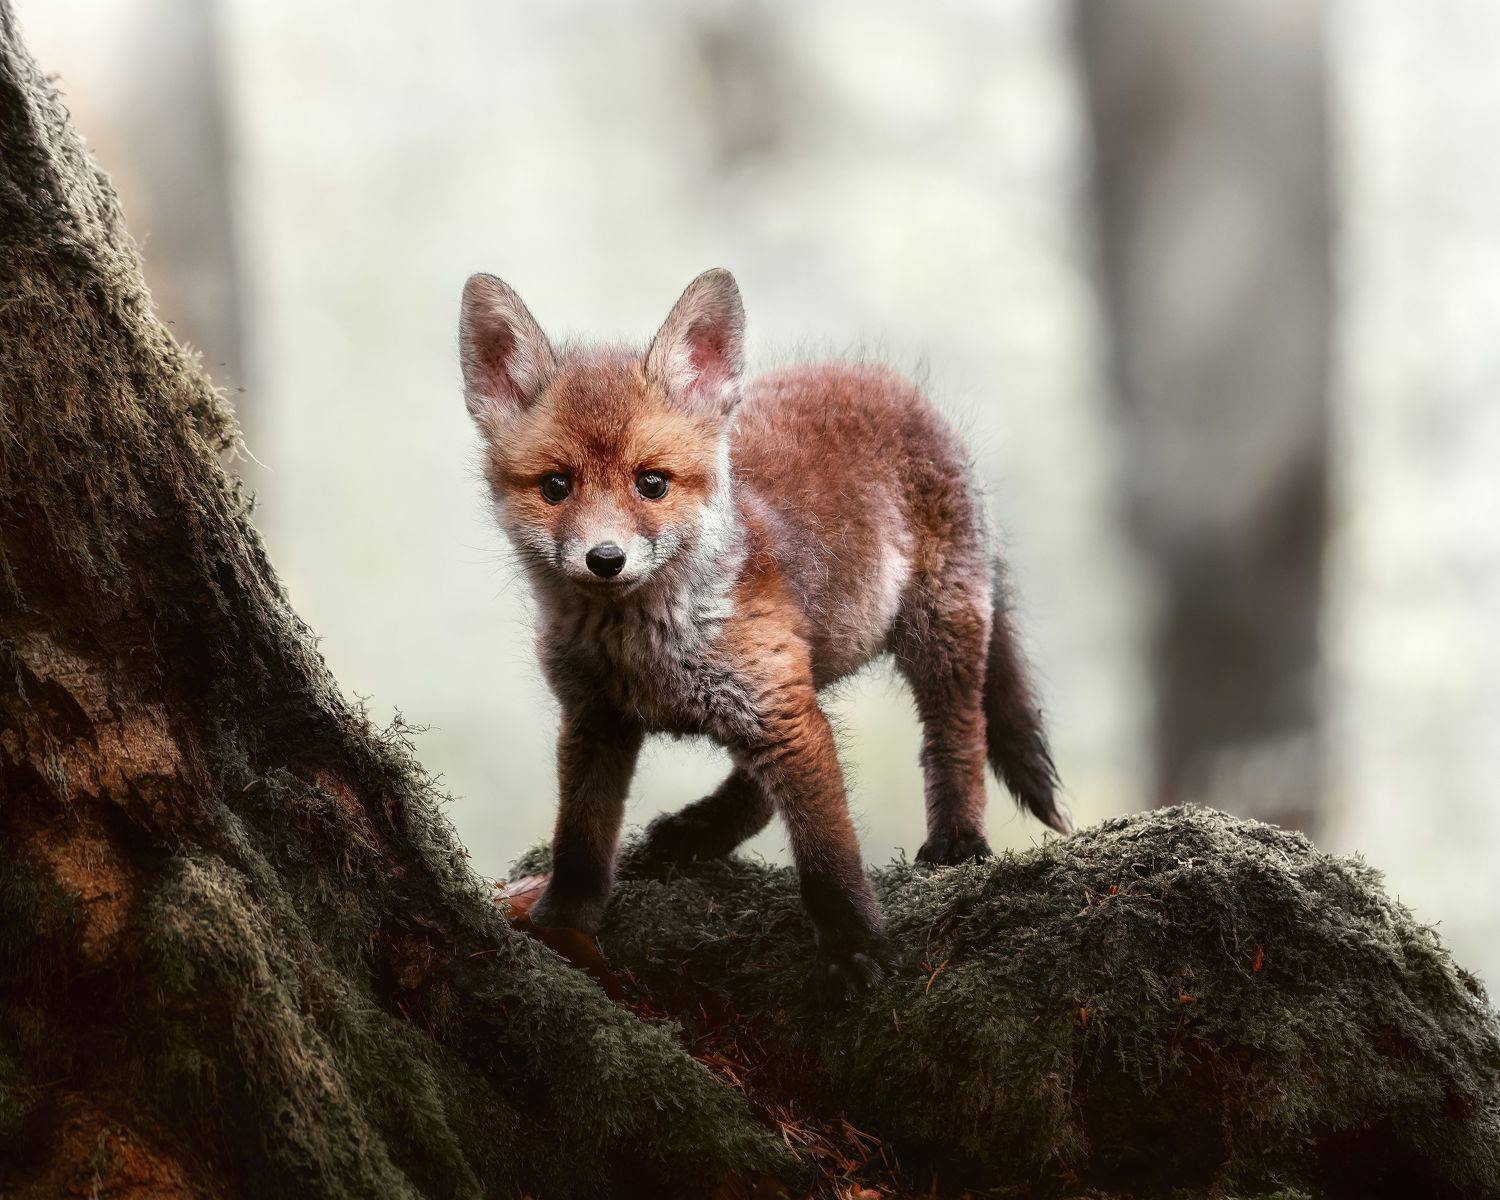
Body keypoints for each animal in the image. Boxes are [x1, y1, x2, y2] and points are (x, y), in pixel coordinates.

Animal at [460, 268, 1071, 1001]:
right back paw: (694, 833)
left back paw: (957, 837)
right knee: (755, 788)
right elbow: (580, 840)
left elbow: (829, 850)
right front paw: (560, 927)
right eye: (556, 486)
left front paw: (854, 943)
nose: (605, 558)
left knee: (958, 730)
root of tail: (883, 380)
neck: (644, 653)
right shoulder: (596, 719)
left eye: (651, 482)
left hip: (936, 631)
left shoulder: (783, 719)